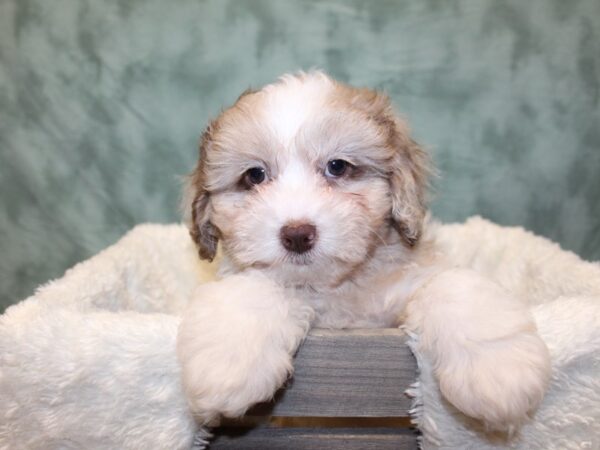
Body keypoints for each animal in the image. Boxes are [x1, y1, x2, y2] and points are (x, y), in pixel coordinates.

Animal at [176, 73, 552, 432]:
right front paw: (227, 367)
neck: (338, 290)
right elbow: (252, 290)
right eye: (254, 175)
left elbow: (451, 286)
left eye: (338, 167)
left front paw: (498, 372)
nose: (297, 235)